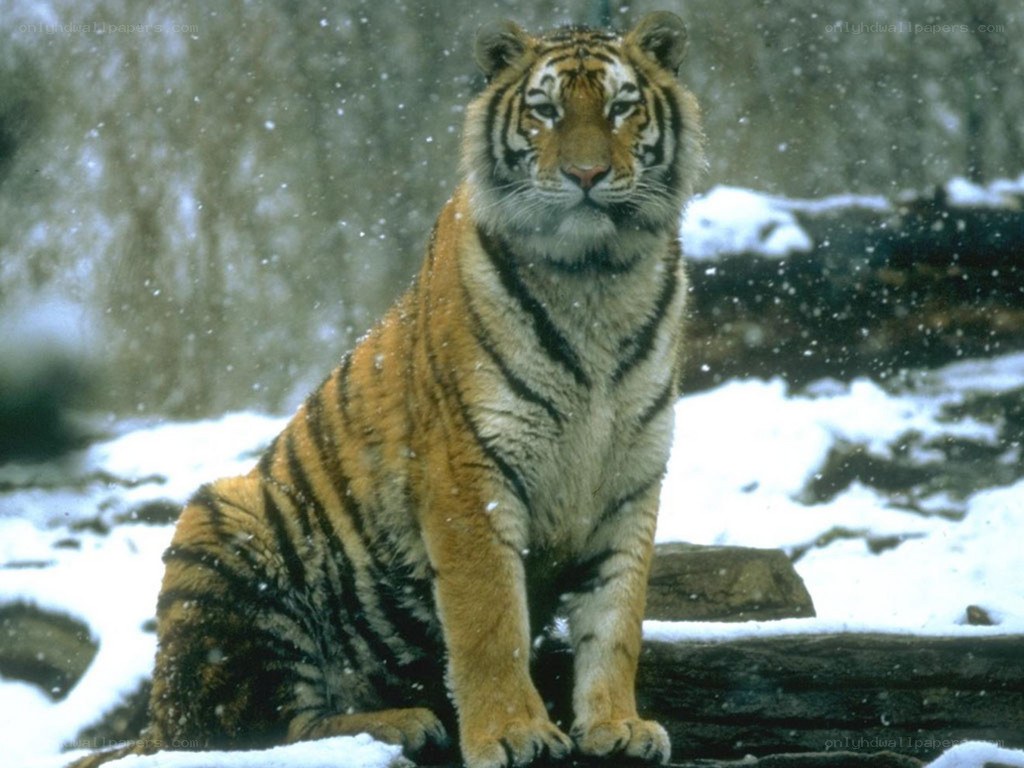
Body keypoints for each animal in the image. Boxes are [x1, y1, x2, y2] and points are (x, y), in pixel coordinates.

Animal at [70, 11, 704, 768]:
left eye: (621, 107)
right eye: (546, 110)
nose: (586, 173)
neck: (598, 276)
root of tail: (152, 722)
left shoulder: (631, 477)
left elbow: (617, 619)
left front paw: (617, 726)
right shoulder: (468, 473)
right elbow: (491, 623)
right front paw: (514, 733)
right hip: (226, 522)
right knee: (249, 733)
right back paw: (402, 723)